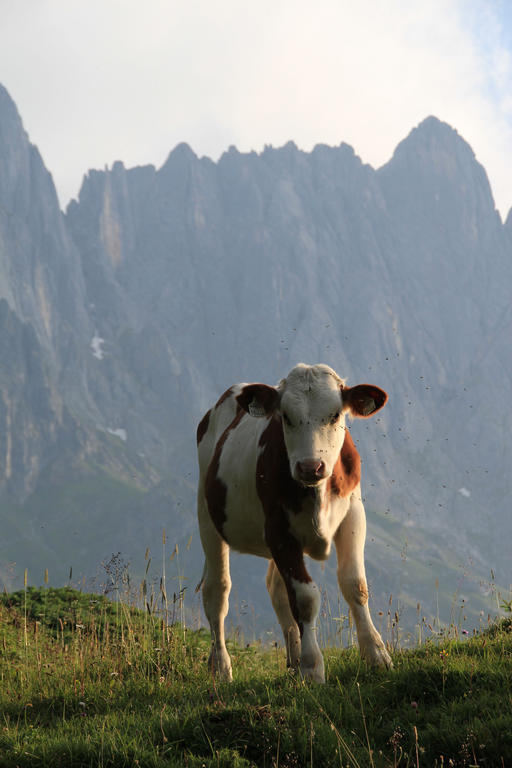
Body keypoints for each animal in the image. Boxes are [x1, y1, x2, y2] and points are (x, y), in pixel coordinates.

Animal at [196, 364, 392, 680]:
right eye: (285, 416)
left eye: (335, 414)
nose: (311, 466)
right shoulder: (278, 531)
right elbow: (304, 598)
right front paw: (312, 668)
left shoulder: (353, 514)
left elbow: (355, 585)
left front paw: (376, 654)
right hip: (207, 516)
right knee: (217, 591)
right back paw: (221, 667)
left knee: (276, 590)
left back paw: (293, 658)